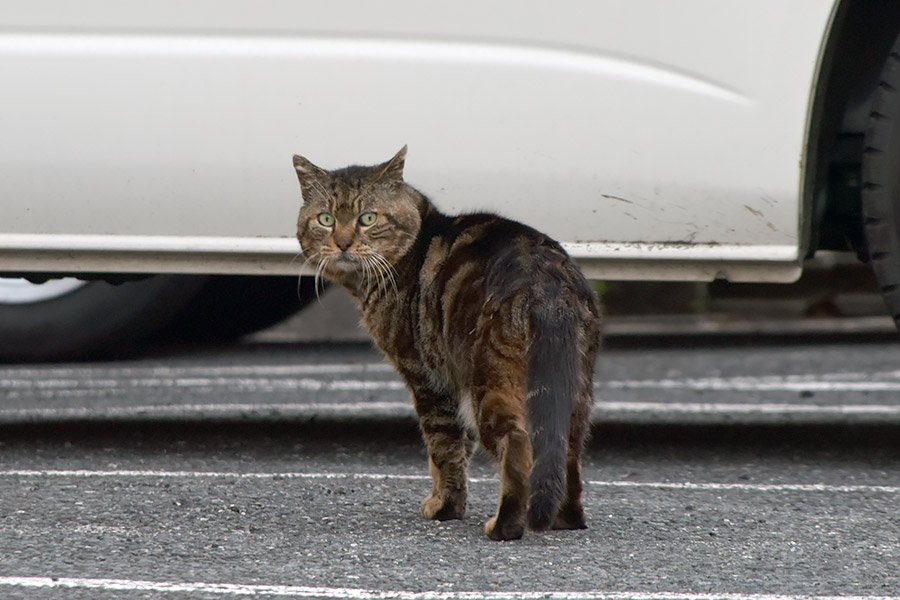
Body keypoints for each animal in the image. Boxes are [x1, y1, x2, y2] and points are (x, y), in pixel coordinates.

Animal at [296, 145, 600, 540]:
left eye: (367, 218)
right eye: (326, 219)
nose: (343, 242)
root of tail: (547, 283)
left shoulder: (428, 379)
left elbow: (441, 450)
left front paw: (444, 508)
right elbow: (458, 450)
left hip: (490, 384)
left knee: (518, 444)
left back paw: (504, 525)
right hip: (573, 393)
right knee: (567, 455)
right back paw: (565, 519)